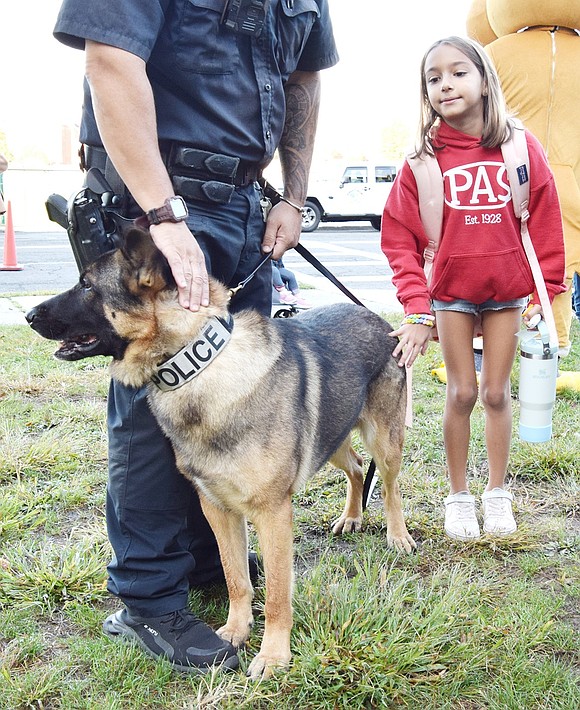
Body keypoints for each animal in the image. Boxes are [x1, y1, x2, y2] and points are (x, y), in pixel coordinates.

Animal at [27, 231, 414, 680]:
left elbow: (278, 592)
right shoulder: (216, 507)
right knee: (354, 467)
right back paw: (352, 517)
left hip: (383, 441)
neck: (196, 367)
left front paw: (273, 655)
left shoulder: (273, 514)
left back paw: (398, 535)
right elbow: (235, 577)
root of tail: (380, 320)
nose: (30, 315)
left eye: (87, 285)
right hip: (332, 438)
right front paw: (234, 631)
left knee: (389, 486)